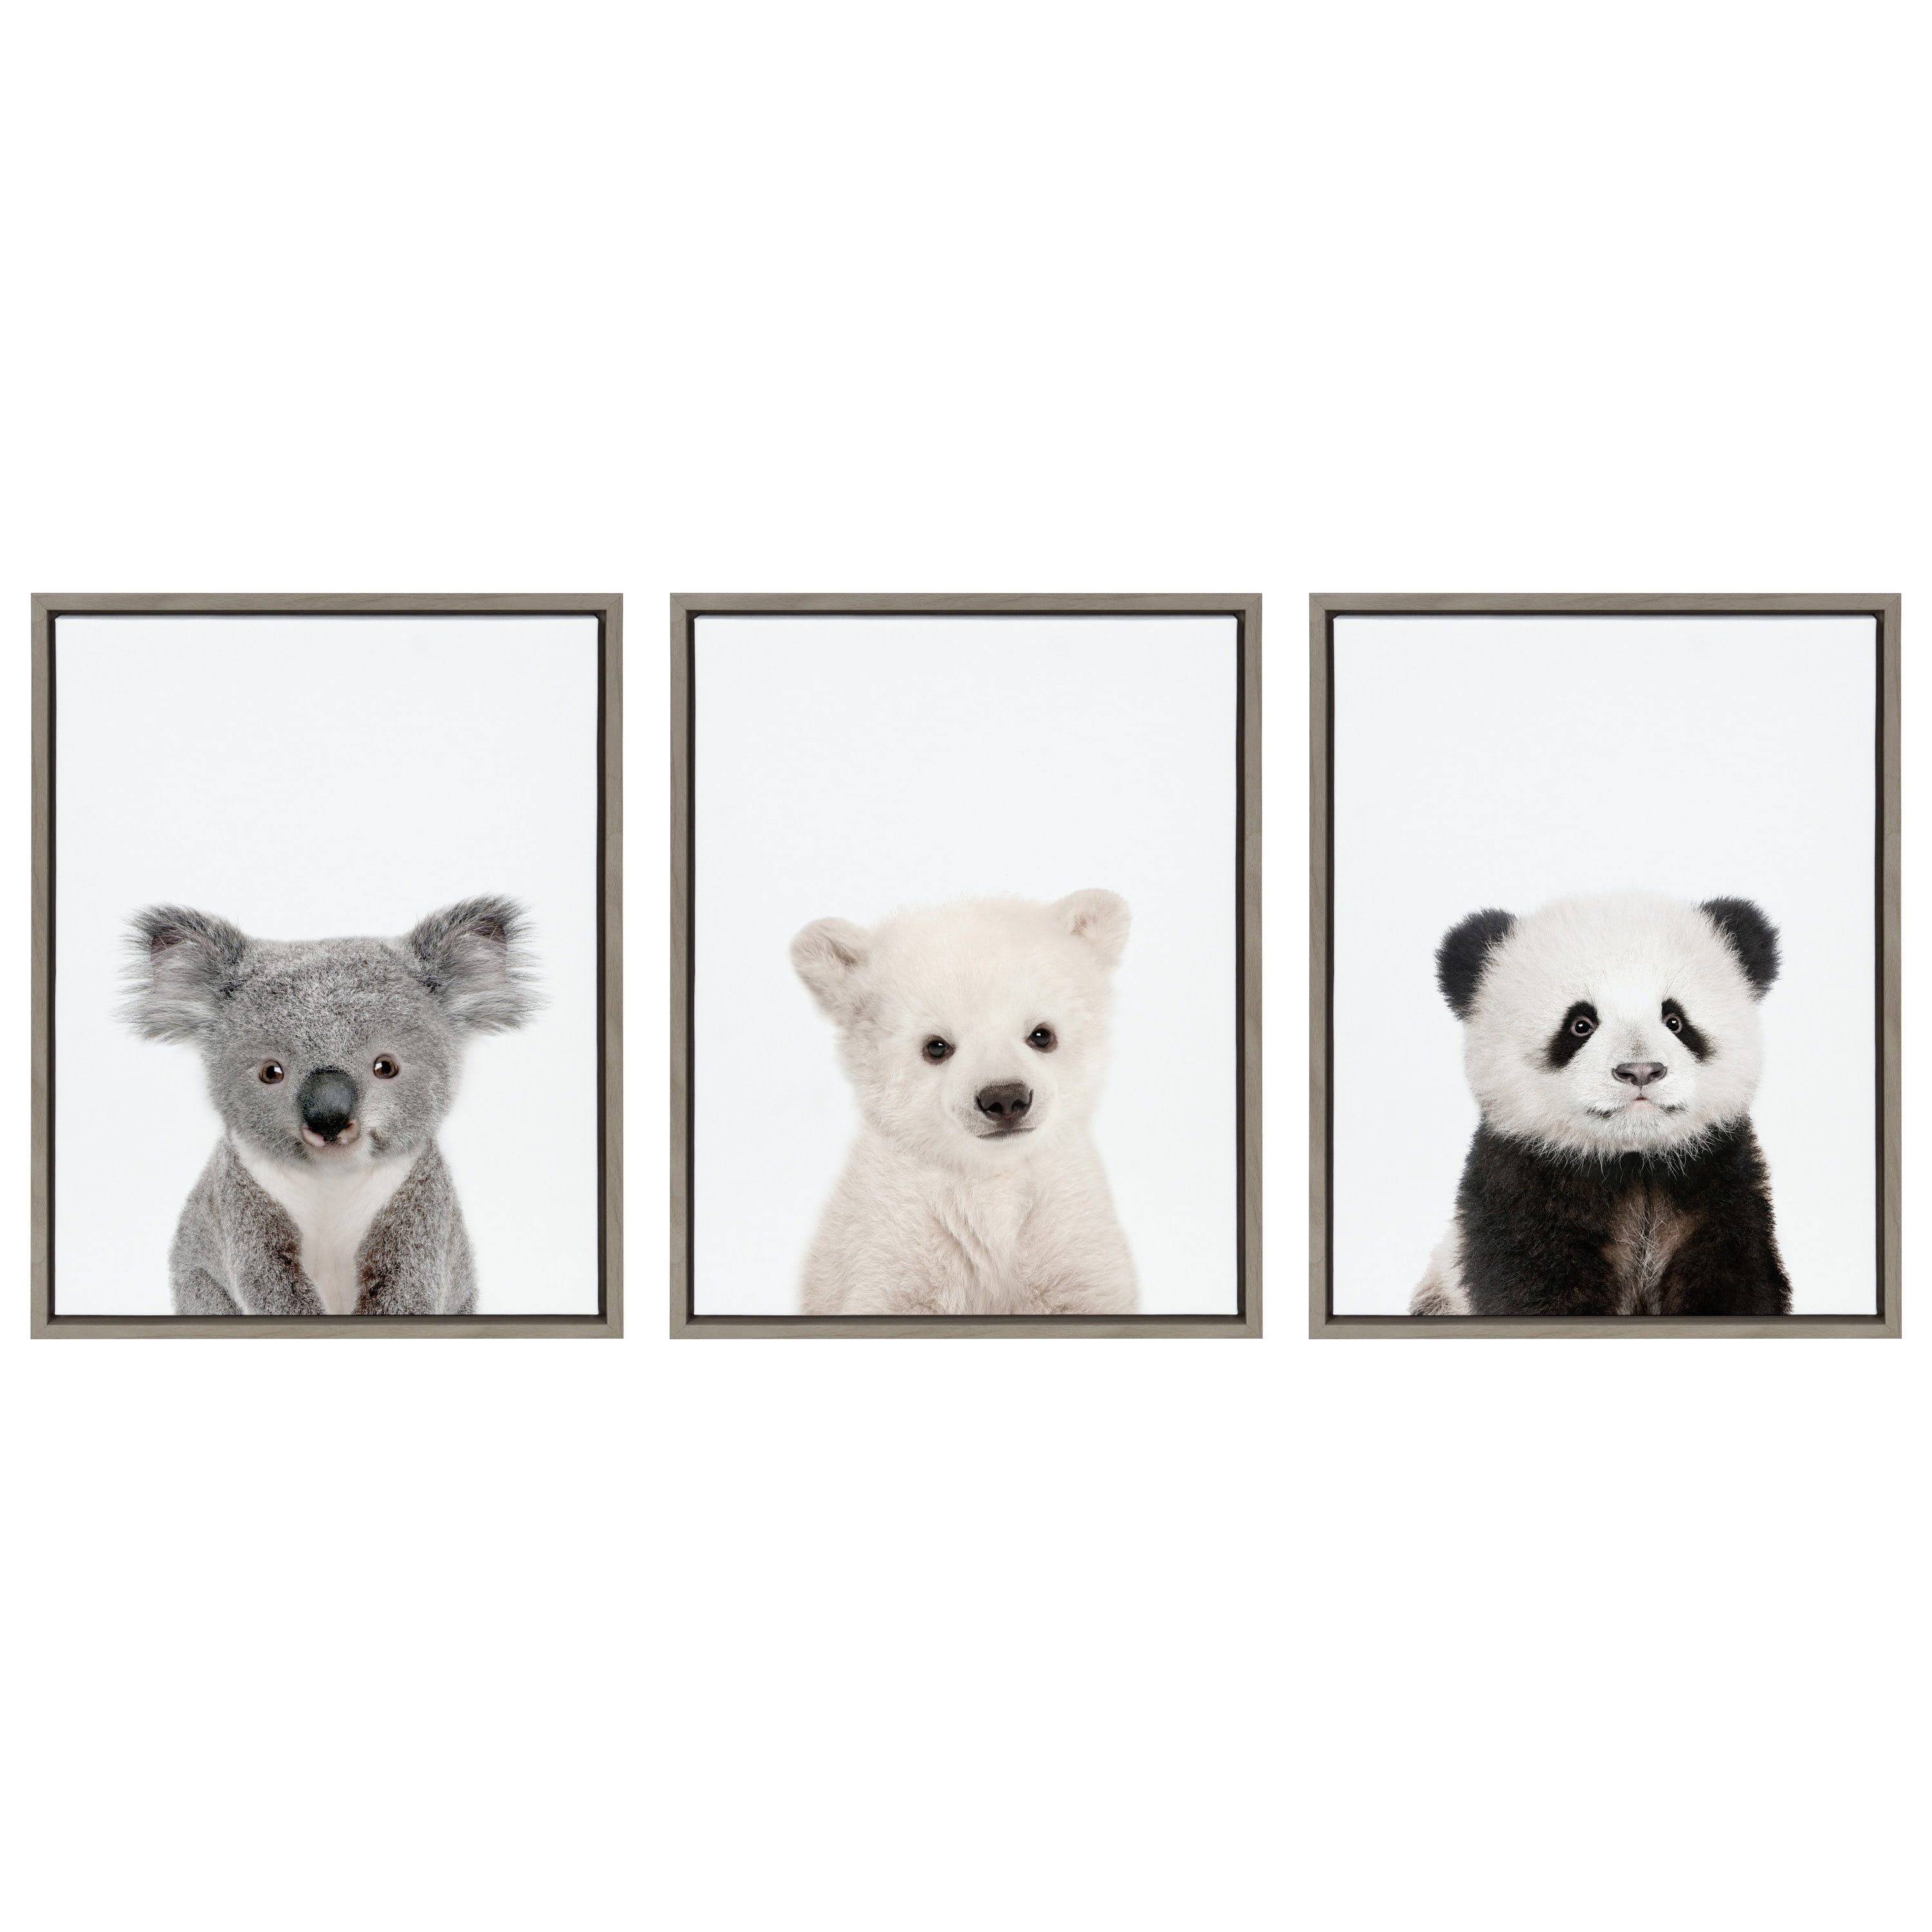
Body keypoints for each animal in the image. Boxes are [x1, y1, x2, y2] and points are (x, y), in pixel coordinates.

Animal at [788, 890, 1139, 1316]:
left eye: (1042, 1034)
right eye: (936, 1046)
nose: (1005, 1098)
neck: (990, 1175)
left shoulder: (1069, 1226)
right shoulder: (894, 1232)